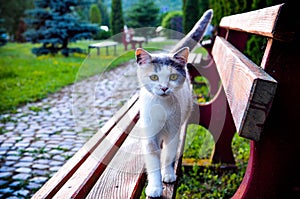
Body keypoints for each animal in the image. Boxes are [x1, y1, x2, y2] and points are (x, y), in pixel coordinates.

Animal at [135, 47, 192, 197]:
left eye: (173, 77)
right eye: (154, 77)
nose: (164, 88)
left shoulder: (173, 132)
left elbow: (168, 155)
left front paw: (168, 175)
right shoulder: (150, 136)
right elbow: (153, 160)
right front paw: (155, 187)